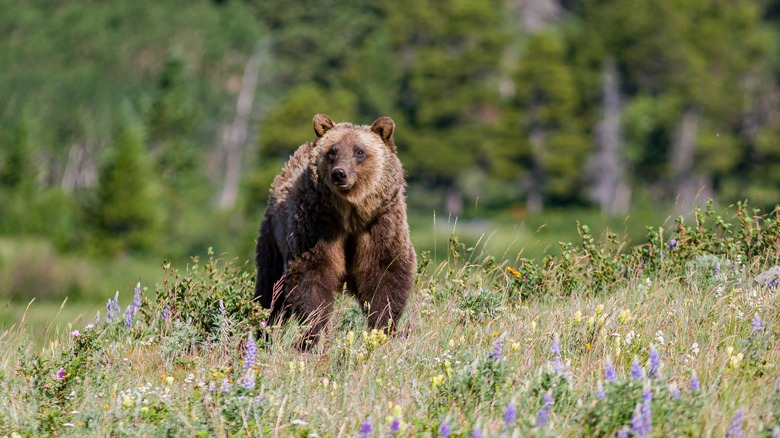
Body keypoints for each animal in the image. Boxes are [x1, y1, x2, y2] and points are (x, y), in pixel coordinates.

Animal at [254, 114, 414, 350]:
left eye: (359, 151)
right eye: (332, 151)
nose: (340, 173)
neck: (351, 215)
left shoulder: (380, 225)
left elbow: (385, 272)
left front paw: (383, 328)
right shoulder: (317, 225)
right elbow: (312, 275)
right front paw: (314, 335)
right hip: (274, 235)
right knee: (270, 288)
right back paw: (262, 330)